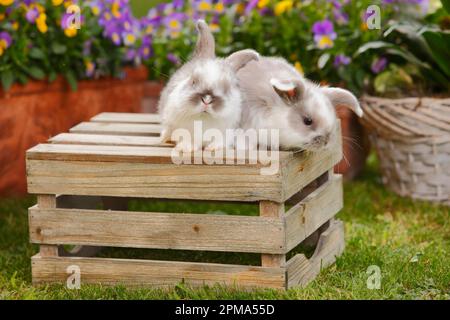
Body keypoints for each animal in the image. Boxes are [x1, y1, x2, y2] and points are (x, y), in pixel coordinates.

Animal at [158, 20, 258, 152]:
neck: (203, 119)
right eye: (193, 81)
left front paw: (213, 148)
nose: (207, 99)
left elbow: (220, 140)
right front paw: (186, 148)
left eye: (227, 88)